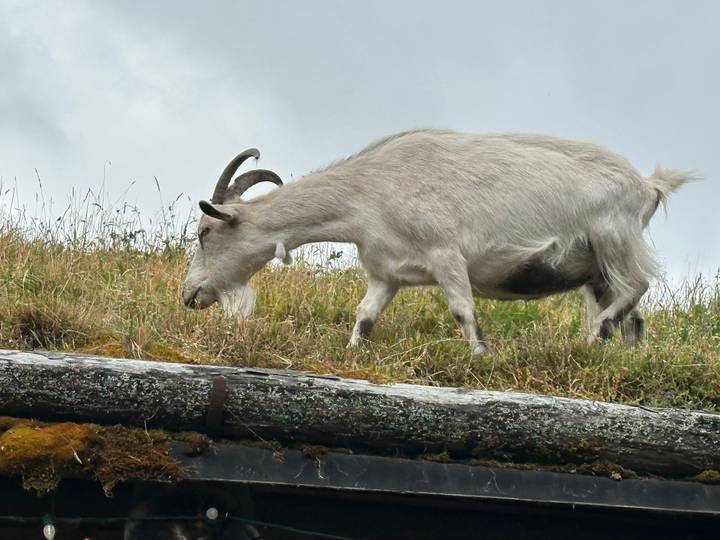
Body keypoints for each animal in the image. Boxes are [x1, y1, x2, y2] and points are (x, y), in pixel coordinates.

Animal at [182, 129, 693, 354]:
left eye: (205, 232)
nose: (189, 294)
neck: (367, 192)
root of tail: (649, 186)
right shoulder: (386, 273)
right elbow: (364, 315)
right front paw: (352, 353)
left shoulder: (446, 254)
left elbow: (462, 309)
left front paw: (479, 356)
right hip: (595, 269)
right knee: (634, 315)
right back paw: (618, 355)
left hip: (613, 239)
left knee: (637, 287)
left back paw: (596, 332)